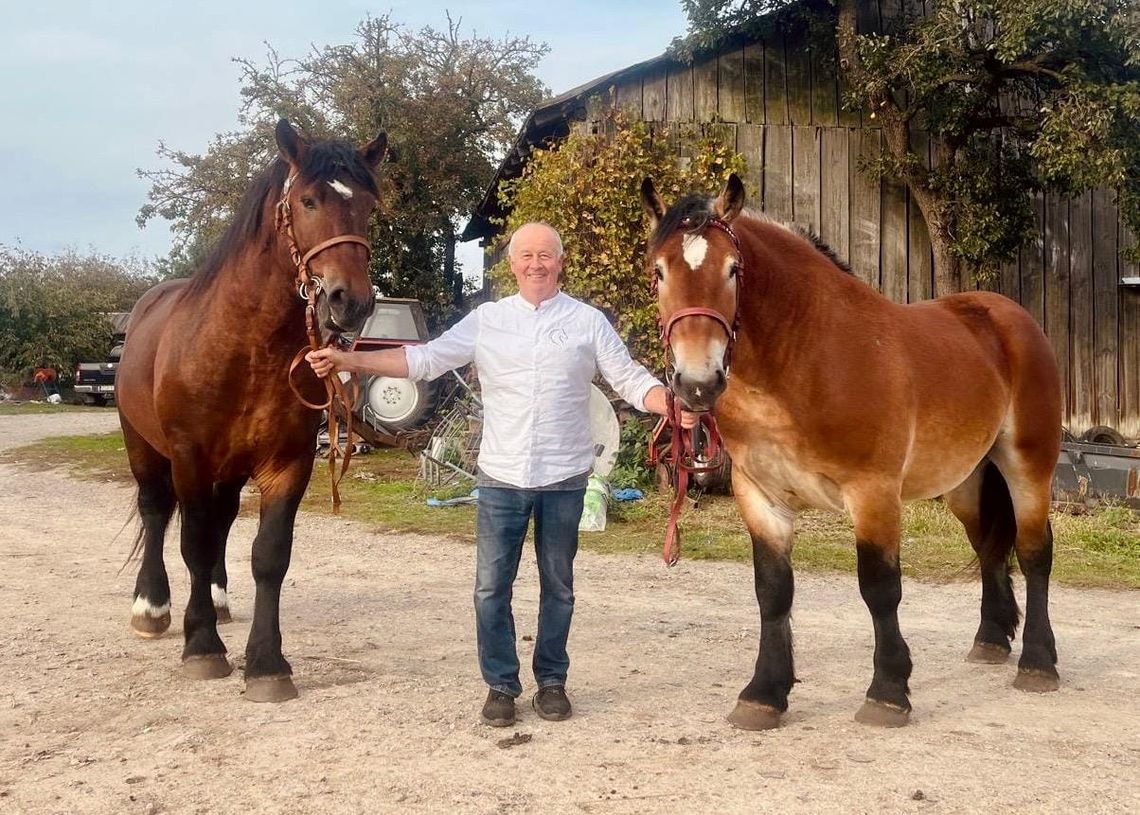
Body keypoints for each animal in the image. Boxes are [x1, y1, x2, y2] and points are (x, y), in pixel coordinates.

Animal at [117, 119, 387, 702]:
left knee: (220, 524)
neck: (247, 348)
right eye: (308, 200)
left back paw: (218, 602)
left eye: (368, 204)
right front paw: (202, 647)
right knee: (156, 513)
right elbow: (193, 545)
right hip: (144, 447)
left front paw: (266, 663)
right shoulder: (190, 460)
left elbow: (269, 555)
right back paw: (152, 607)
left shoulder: (286, 464)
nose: (349, 301)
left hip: (229, 469)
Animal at [642, 175, 1057, 729]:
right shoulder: (761, 498)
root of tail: (1008, 315)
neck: (808, 360)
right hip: (966, 482)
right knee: (989, 546)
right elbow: (772, 592)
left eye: (733, 269)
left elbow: (880, 589)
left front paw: (888, 692)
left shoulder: (873, 493)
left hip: (1028, 466)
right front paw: (763, 694)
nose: (697, 384)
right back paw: (991, 640)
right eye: (658, 271)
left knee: (1034, 554)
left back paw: (1038, 663)